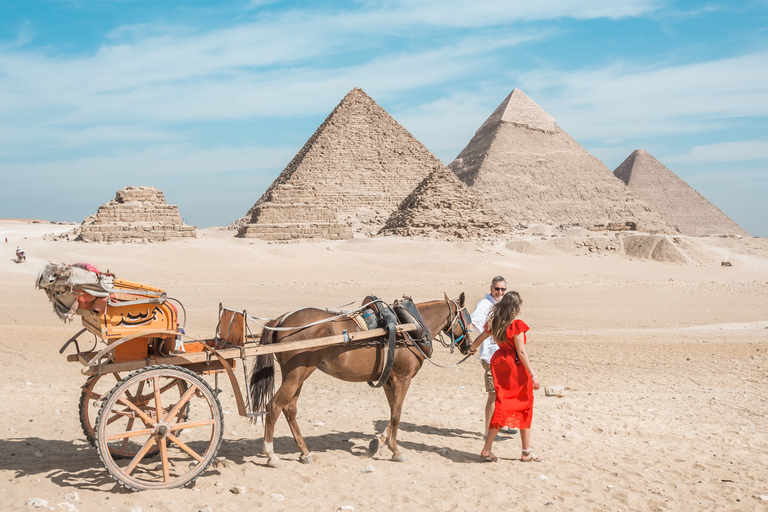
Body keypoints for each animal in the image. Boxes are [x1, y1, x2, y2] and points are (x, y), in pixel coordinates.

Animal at [249, 294, 472, 466]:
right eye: (468, 319)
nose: (469, 346)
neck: (408, 328)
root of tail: (280, 321)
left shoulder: (389, 380)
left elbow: (392, 412)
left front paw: (380, 442)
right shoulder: (402, 378)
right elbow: (397, 414)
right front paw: (396, 451)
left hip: (297, 374)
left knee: (289, 408)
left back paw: (304, 452)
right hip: (297, 374)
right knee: (274, 406)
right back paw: (271, 455)